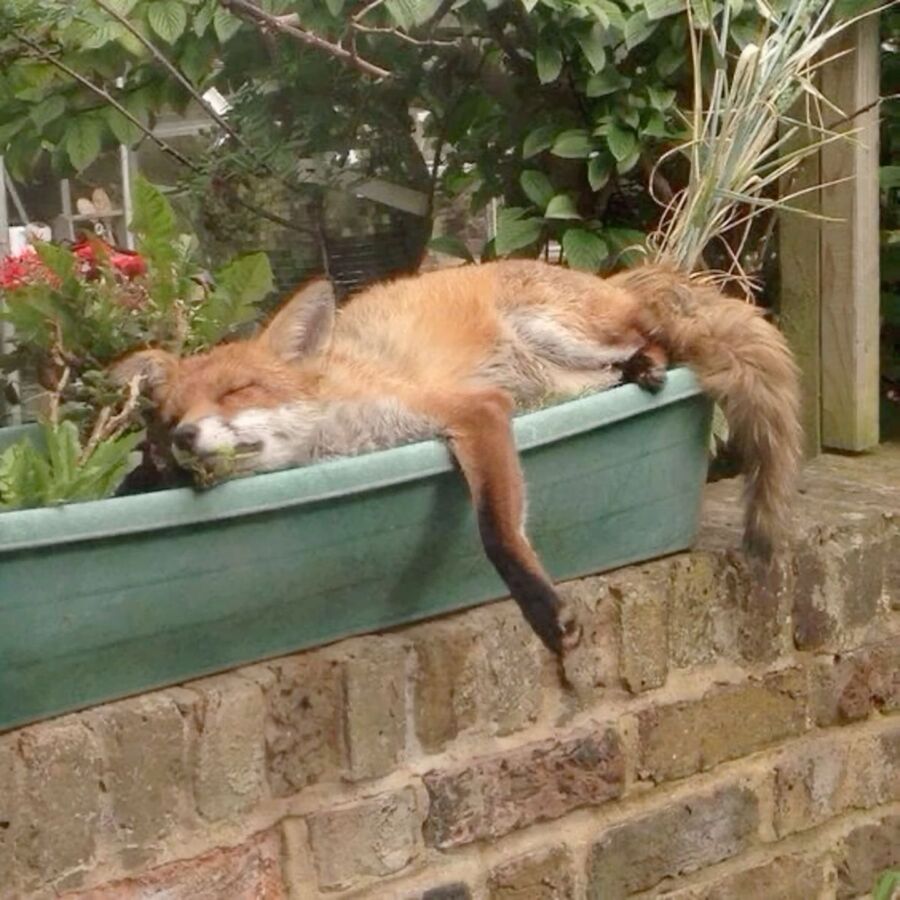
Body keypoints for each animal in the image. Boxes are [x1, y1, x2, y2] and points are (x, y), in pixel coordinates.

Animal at [113, 260, 802, 658]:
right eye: (169, 418)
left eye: (238, 391)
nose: (183, 439)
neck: (343, 434)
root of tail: (607, 276)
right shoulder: (485, 412)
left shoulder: (475, 410)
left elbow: (497, 530)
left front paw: (544, 610)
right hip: (554, 382)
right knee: (626, 361)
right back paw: (638, 371)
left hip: (555, 332)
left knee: (656, 336)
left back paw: (650, 363)